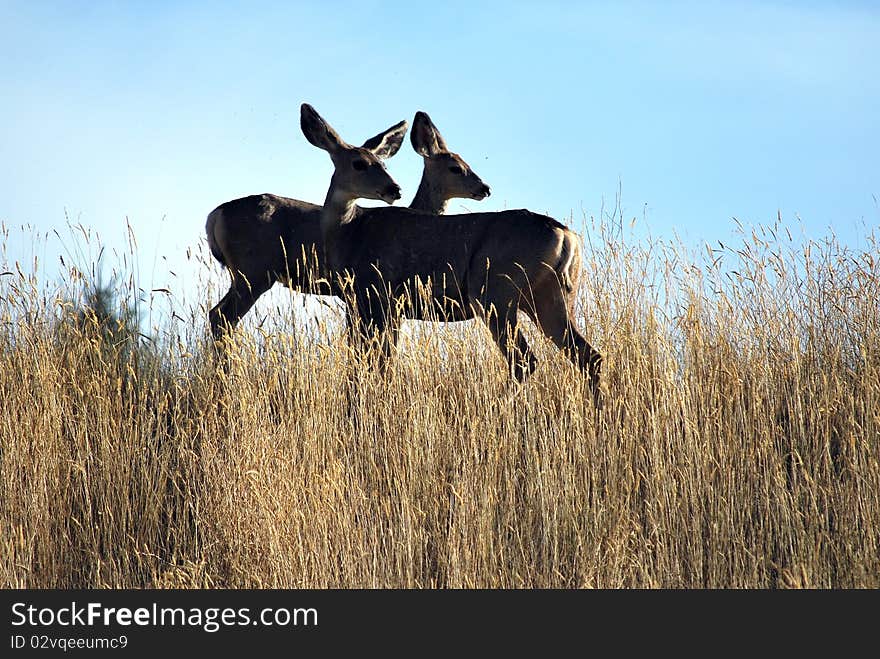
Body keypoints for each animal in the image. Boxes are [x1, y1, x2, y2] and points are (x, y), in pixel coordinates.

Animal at [300, 102, 600, 392]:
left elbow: (369, 361)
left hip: (494, 292)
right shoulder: (386, 305)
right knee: (588, 355)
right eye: (360, 163)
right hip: (551, 294)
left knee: (524, 359)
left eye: (383, 164)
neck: (349, 232)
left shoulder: (371, 295)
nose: (394, 189)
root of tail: (566, 236)